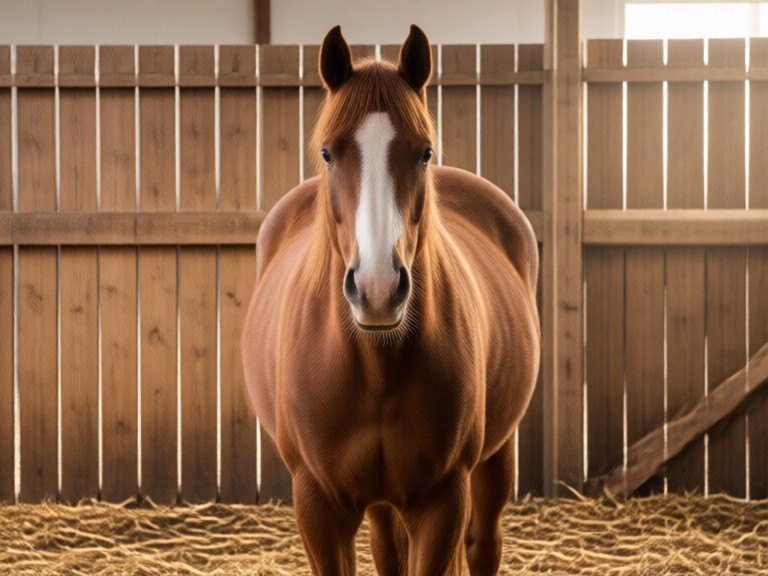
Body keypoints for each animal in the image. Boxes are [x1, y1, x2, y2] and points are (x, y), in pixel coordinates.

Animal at [242, 24, 540, 576]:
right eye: (328, 153)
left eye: (424, 152)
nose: (378, 290)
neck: (376, 367)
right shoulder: (317, 506)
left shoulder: (442, 501)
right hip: (381, 502)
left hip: (495, 458)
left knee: (483, 544)